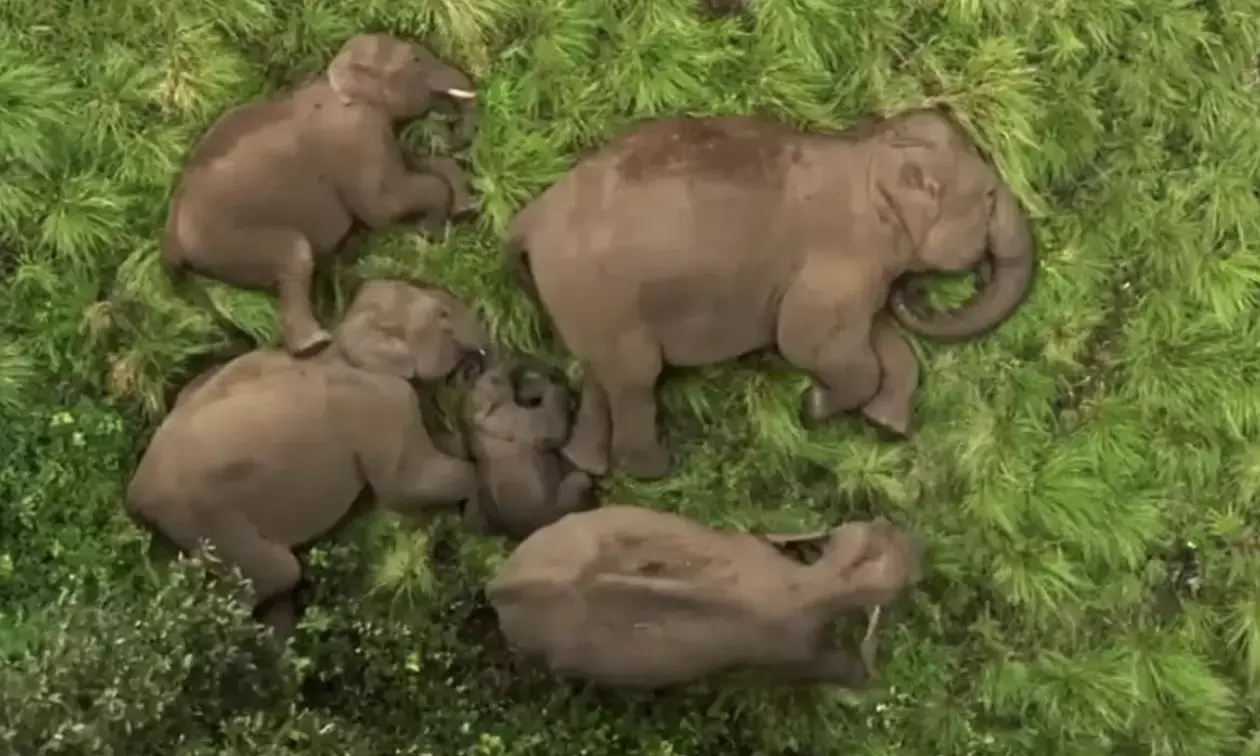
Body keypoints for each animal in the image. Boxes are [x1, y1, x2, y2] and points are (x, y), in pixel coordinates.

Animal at [125, 279, 493, 638]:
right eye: (443, 314)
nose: (479, 362)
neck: (346, 333)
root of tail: (136, 491)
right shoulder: (383, 404)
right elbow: (405, 485)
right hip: (204, 516)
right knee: (276, 574)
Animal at [162, 32, 481, 358]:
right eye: (415, 60)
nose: (447, 125)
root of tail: (170, 235)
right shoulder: (358, 135)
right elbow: (382, 207)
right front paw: (432, 232)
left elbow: (412, 166)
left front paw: (455, 215)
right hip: (226, 241)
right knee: (295, 253)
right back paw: (314, 345)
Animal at [456, 360, 599, 541]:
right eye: (494, 380)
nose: (511, 363)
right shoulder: (514, 419)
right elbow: (550, 425)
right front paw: (555, 382)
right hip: (567, 494)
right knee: (581, 481)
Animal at [484, 505, 924, 690]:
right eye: (897, 585)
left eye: (877, 536)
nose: (916, 551)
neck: (809, 585)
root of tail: (501, 585)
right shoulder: (797, 650)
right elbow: (837, 668)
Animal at [505, 105, 1037, 479]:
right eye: (991, 198)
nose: (918, 293)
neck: (867, 154)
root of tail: (529, 219)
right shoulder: (836, 261)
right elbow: (807, 343)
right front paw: (814, 407)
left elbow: (880, 341)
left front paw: (885, 424)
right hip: (599, 294)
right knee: (635, 377)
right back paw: (658, 469)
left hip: (586, 303)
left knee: (603, 375)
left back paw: (588, 463)